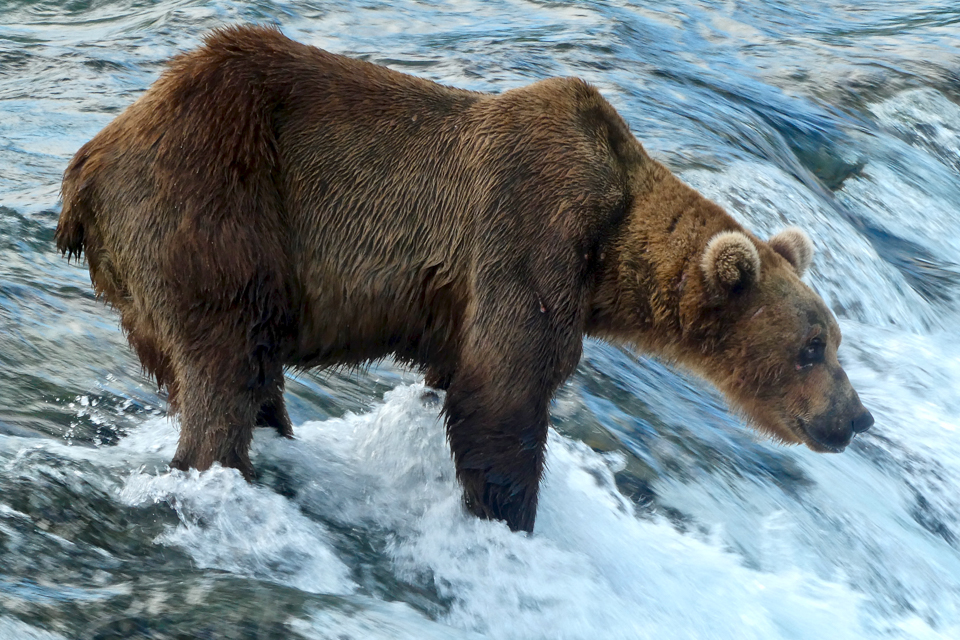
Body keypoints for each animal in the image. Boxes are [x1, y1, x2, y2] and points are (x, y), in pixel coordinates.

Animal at [56, 25, 873, 533]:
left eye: (835, 340)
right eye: (812, 347)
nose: (857, 418)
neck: (607, 250)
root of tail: (90, 163)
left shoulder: (464, 300)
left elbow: (459, 374)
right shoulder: (529, 231)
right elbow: (505, 387)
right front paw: (507, 515)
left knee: (233, 372)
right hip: (214, 207)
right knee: (224, 365)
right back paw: (218, 469)